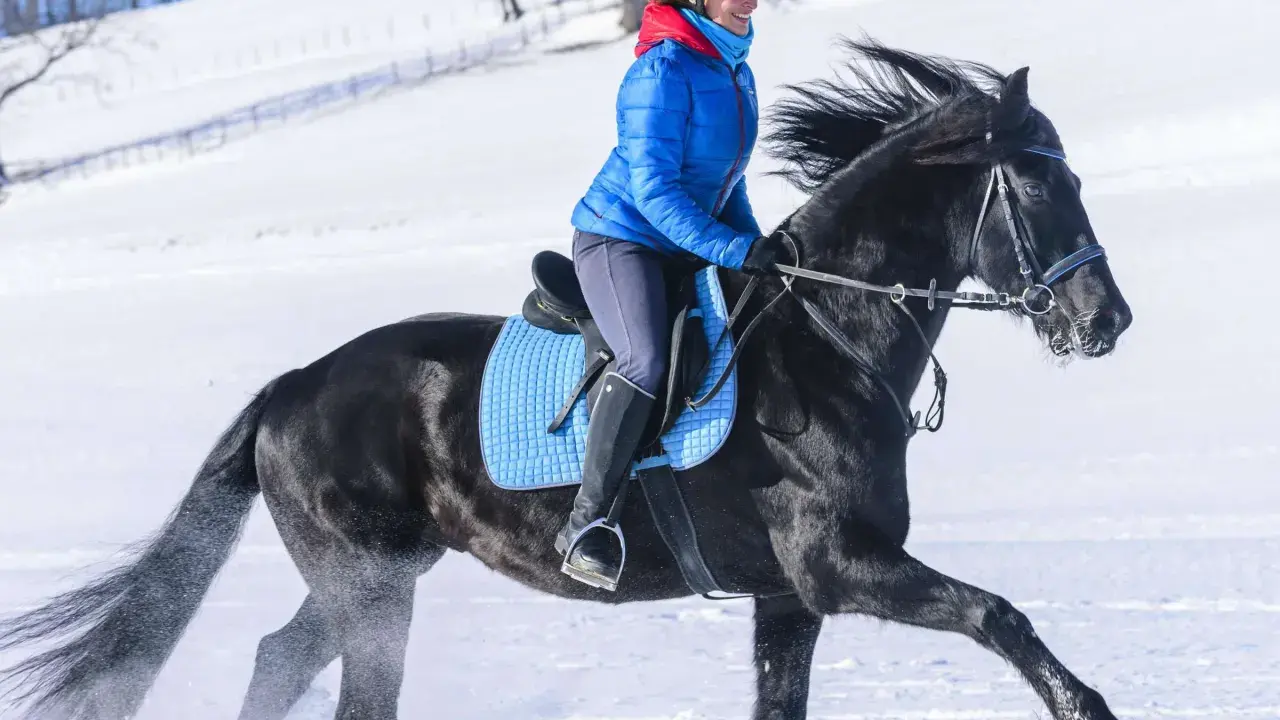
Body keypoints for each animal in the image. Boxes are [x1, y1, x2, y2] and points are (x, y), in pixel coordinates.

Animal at [0, 39, 1134, 720]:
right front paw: (1085, 705)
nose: (1106, 323)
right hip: (371, 586)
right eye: (1040, 184)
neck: (825, 340)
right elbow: (997, 615)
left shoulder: (788, 599)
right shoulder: (838, 568)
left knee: (279, 654)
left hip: (378, 574)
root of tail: (290, 388)